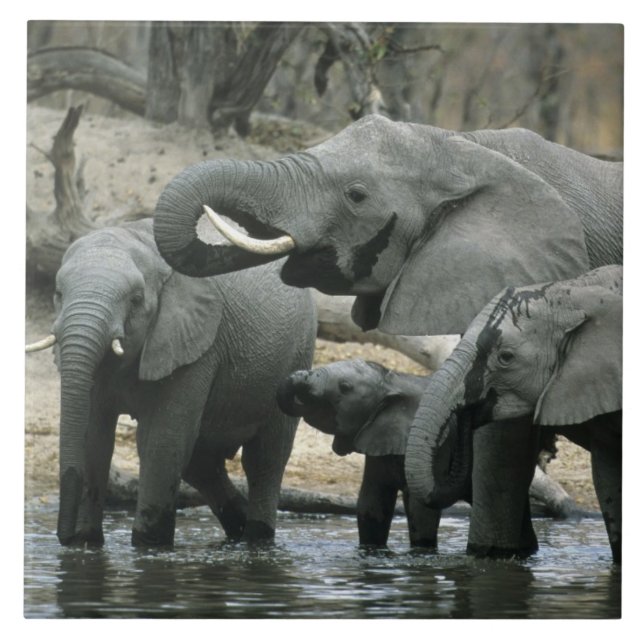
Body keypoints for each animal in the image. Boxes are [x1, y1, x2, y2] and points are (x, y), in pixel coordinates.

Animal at [25, 218, 316, 547]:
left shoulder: (195, 343)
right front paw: (86, 544)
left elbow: (160, 441)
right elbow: (94, 437)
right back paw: (237, 531)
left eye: (136, 300)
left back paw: (256, 539)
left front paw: (148, 545)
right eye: (58, 294)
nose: (64, 537)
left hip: (296, 354)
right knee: (202, 463)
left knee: (264, 459)